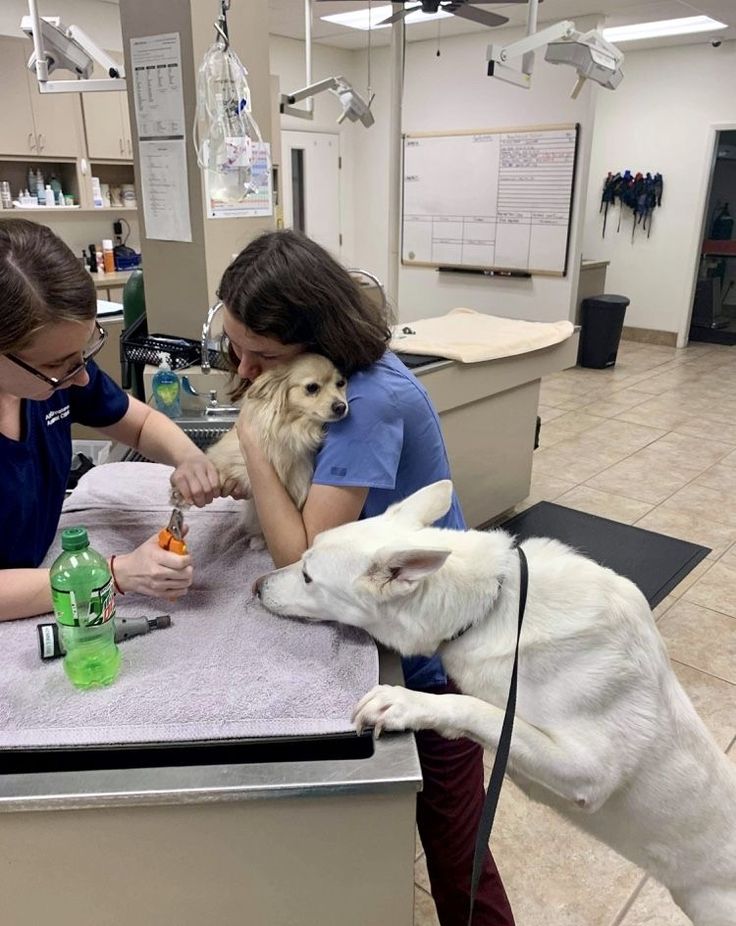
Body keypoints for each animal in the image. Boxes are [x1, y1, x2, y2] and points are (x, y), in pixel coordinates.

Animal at [256, 482, 736, 924]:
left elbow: (477, 708)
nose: (256, 586)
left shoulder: (589, 771)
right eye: (302, 559)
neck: (493, 603)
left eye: (308, 576)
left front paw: (401, 702)